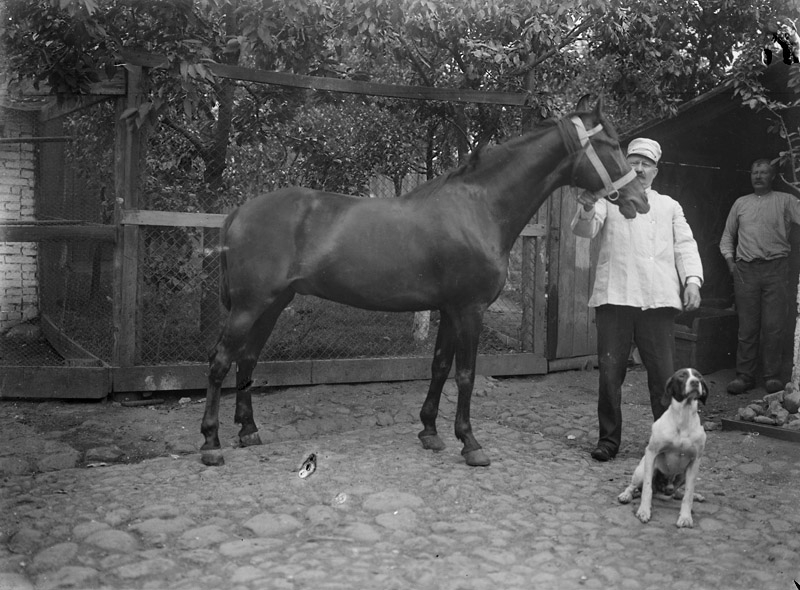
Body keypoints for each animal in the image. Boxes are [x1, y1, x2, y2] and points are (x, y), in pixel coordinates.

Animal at [200, 95, 649, 467]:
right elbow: (465, 373)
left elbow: (439, 366)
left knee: (247, 358)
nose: (640, 201)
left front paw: (430, 432)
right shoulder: (469, 310)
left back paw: (248, 431)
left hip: (272, 303)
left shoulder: (449, 309)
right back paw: (211, 444)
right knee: (220, 361)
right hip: (250, 305)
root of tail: (240, 211)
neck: (479, 207)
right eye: (610, 145)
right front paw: (471, 443)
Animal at [618, 368, 708, 528]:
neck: (683, 417)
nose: (695, 382)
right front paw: (644, 511)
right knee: (634, 486)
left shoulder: (695, 460)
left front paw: (686, 517)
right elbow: (647, 489)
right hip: (641, 471)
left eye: (699, 376)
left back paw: (693, 495)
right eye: (682, 376)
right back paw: (626, 495)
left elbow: (688, 495)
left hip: (683, 475)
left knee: (678, 493)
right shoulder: (651, 453)